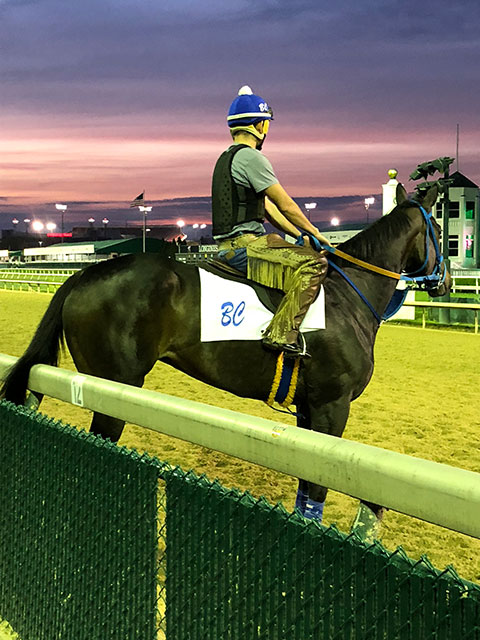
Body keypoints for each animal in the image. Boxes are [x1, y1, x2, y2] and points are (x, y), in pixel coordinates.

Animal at [0, 184, 450, 540]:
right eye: (442, 231)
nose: (444, 283)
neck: (348, 295)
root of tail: (82, 275)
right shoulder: (331, 406)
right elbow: (318, 488)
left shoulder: (309, 408)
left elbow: (306, 486)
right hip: (116, 387)